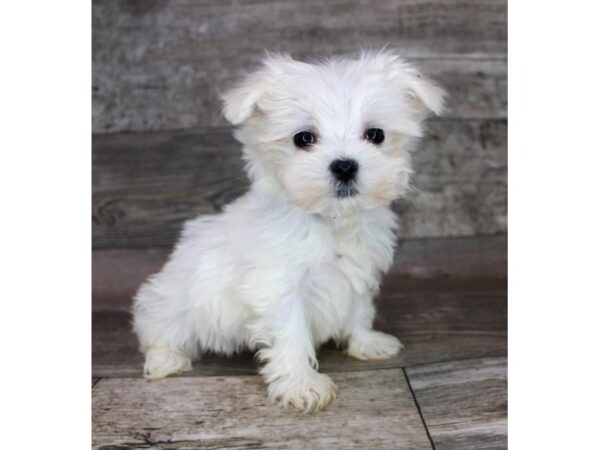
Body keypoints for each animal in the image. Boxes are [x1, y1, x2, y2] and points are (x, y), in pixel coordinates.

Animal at [132, 49, 446, 412]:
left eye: (376, 135)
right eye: (303, 138)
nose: (344, 166)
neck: (330, 219)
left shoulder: (358, 270)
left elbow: (358, 308)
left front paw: (365, 342)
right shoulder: (279, 285)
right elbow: (291, 333)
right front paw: (301, 385)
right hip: (171, 301)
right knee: (161, 331)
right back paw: (165, 360)